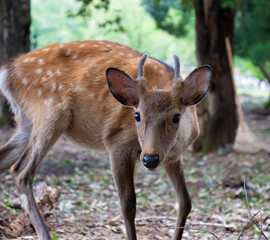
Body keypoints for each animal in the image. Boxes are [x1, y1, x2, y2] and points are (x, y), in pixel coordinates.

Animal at [0, 40, 211, 239]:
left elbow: (185, 201)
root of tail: (7, 70)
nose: (150, 159)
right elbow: (128, 205)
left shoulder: (174, 157)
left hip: (26, 121)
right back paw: (44, 234)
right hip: (50, 110)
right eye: (137, 115)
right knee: (21, 171)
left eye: (176, 117)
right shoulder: (117, 143)